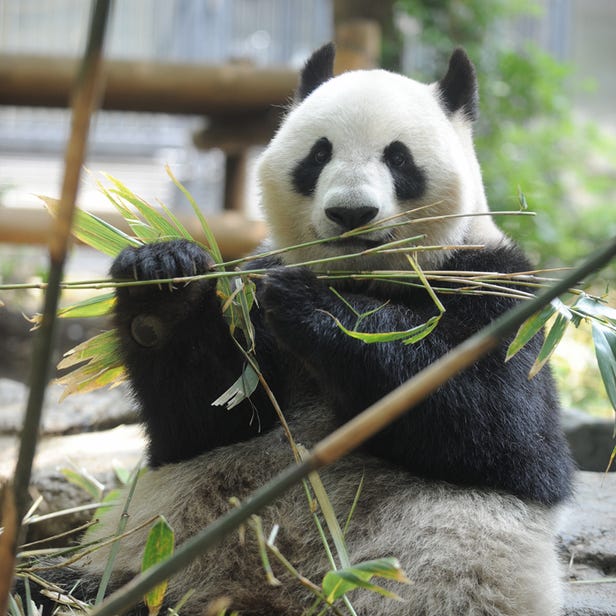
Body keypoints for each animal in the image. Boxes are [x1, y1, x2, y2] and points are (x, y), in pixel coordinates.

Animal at [24, 44, 572, 616]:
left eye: (398, 158)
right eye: (318, 154)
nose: (351, 212)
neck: (360, 276)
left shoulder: (500, 289)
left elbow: (502, 431)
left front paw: (314, 306)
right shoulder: (249, 307)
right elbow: (207, 421)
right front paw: (163, 284)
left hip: (437, 573)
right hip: (156, 556)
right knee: (59, 586)